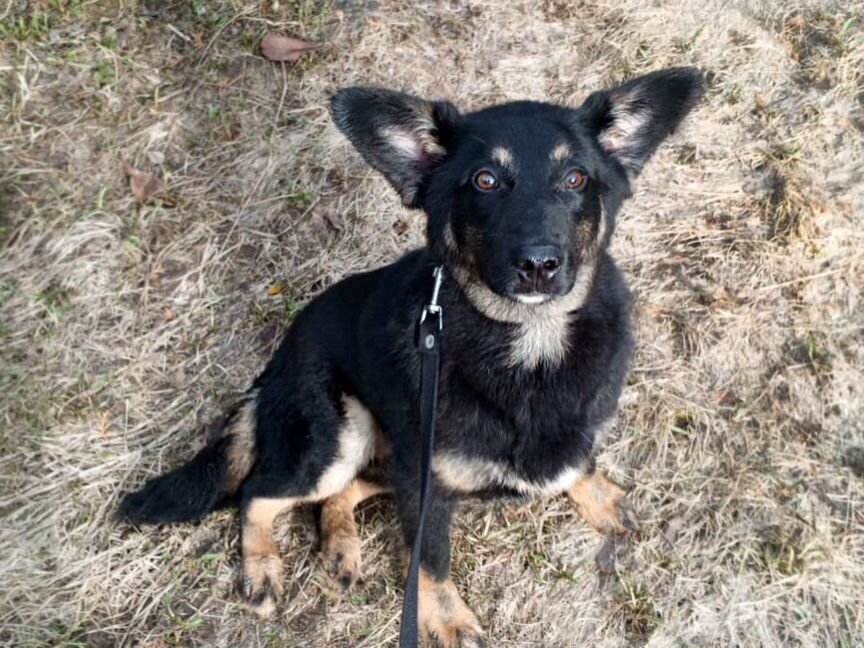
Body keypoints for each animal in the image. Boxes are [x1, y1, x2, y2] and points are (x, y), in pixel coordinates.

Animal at [120, 68, 704, 644]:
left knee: (342, 492)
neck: (530, 340)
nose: (538, 264)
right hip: (343, 435)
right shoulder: (426, 489)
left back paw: (341, 546)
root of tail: (278, 358)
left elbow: (578, 461)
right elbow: (430, 562)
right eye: (485, 180)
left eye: (576, 178)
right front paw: (446, 619)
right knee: (258, 493)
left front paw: (598, 494)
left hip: (387, 454)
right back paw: (263, 568)